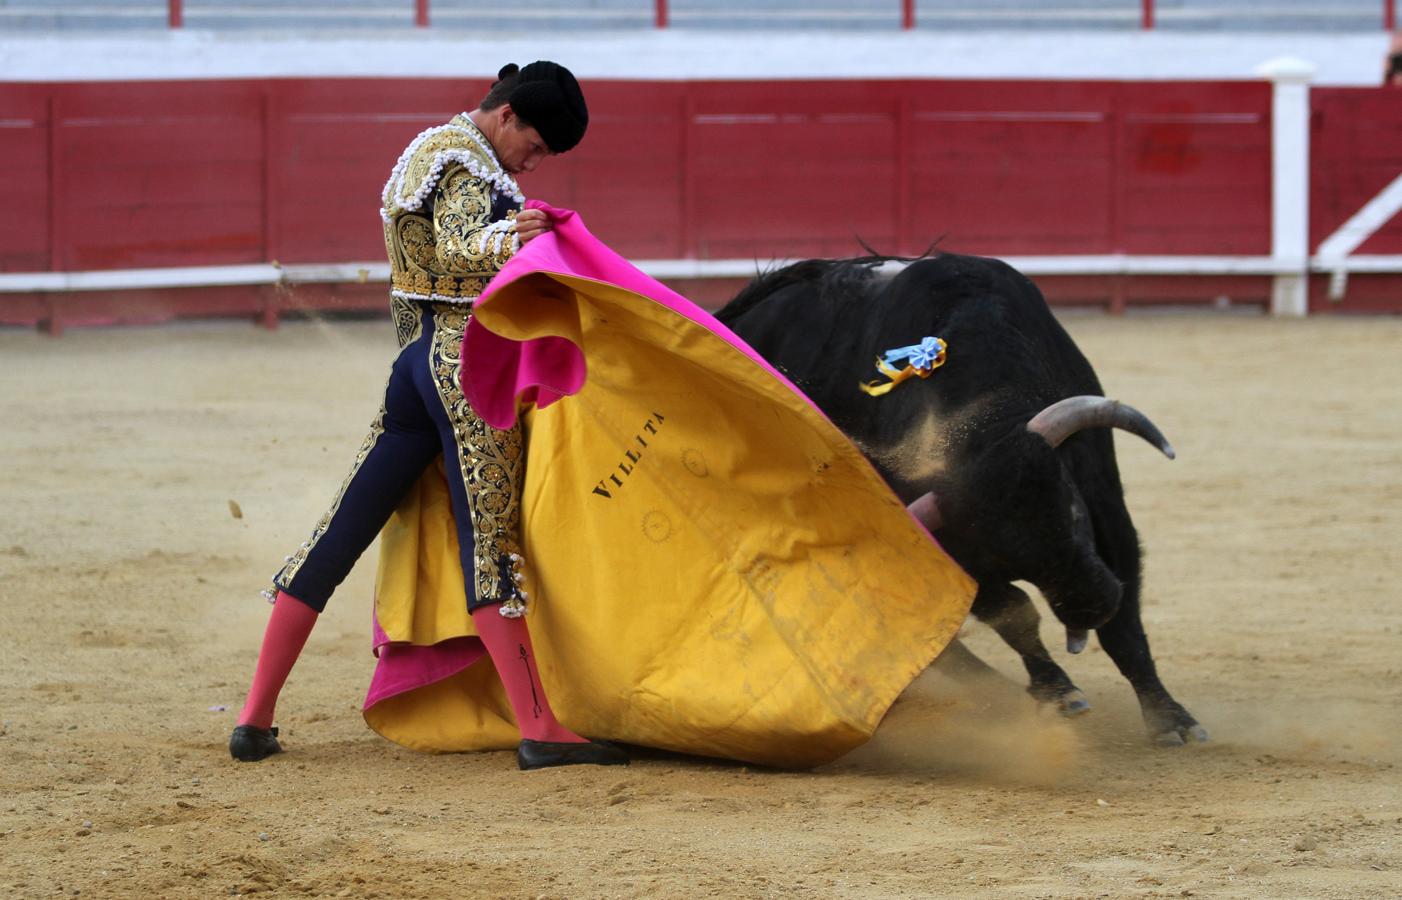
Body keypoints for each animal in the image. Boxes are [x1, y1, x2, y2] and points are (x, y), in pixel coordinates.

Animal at [717, 252, 1211, 740]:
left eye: (1073, 512)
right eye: (1004, 553)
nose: (1087, 606)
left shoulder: (1107, 507)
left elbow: (1125, 626)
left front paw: (1172, 720)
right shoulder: (955, 554)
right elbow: (1016, 615)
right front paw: (1059, 692)